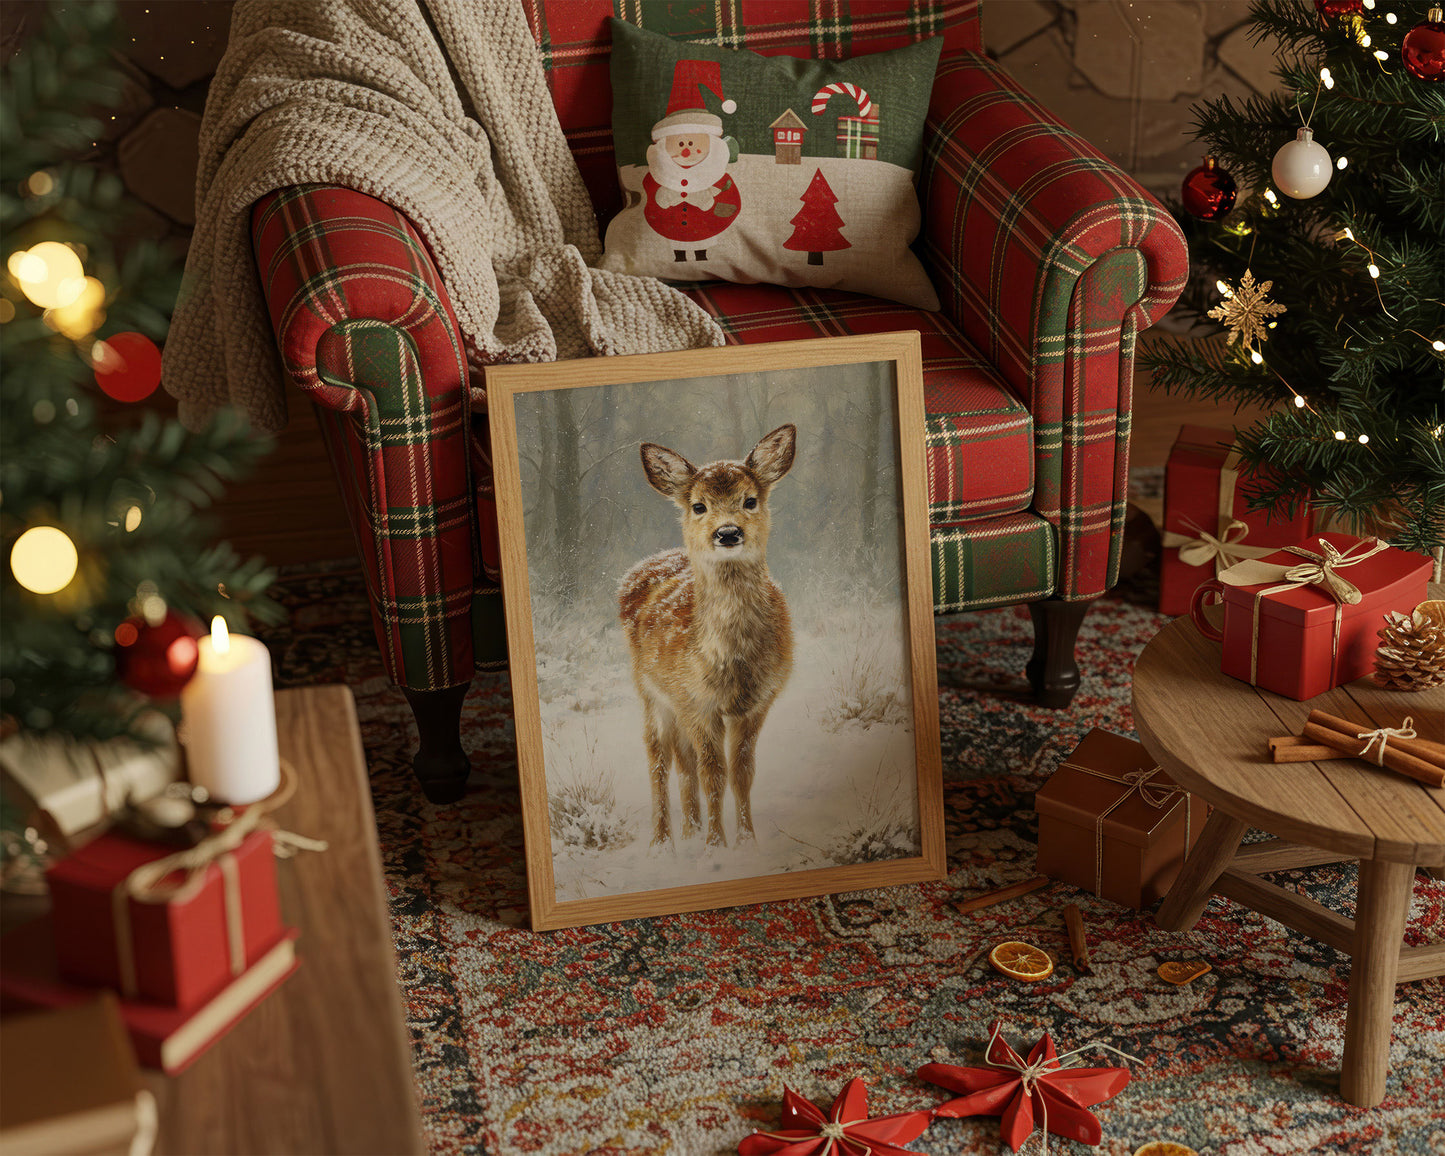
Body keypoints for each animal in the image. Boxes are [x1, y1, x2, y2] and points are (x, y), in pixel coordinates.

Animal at [618, 424, 797, 849]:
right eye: (699, 506)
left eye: (750, 500)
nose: (728, 532)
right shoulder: (696, 703)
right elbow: (713, 774)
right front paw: (716, 843)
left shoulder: (757, 703)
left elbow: (742, 772)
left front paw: (745, 840)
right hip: (651, 693)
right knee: (660, 760)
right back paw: (663, 842)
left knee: (684, 764)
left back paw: (689, 831)